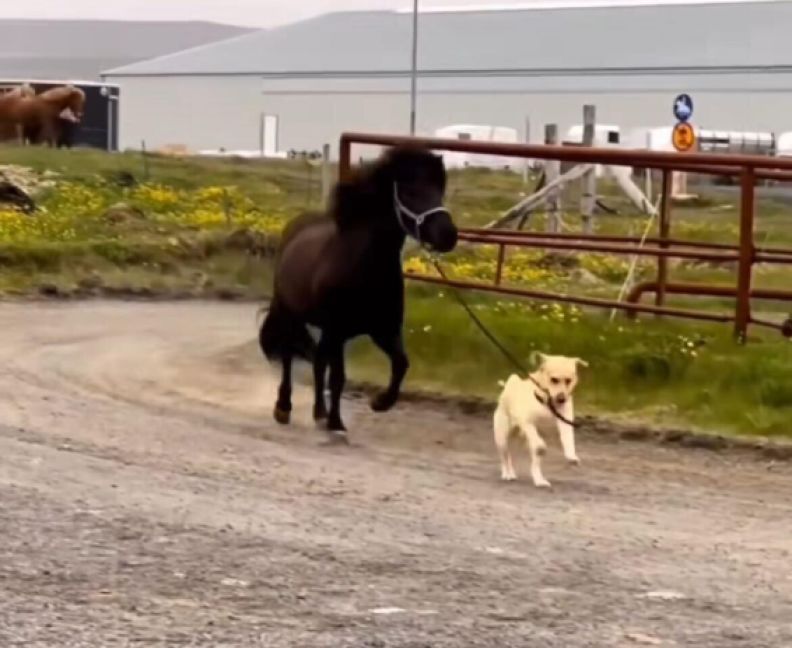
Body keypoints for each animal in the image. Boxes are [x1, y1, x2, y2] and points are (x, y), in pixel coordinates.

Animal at [258, 145, 458, 440]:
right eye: (410, 192)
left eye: (438, 190)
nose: (448, 235)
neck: (364, 267)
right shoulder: (338, 331)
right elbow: (338, 377)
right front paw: (336, 422)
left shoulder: (383, 330)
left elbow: (401, 364)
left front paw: (380, 403)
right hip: (291, 314)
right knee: (288, 357)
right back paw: (284, 408)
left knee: (318, 362)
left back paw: (318, 412)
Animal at [496, 354, 588, 486]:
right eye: (554, 379)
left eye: (568, 380)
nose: (562, 399)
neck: (548, 404)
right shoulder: (527, 423)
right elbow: (538, 442)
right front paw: (541, 446)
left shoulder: (565, 423)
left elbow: (568, 440)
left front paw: (571, 456)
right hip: (502, 439)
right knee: (505, 457)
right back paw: (507, 474)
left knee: (526, 462)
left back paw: (538, 480)